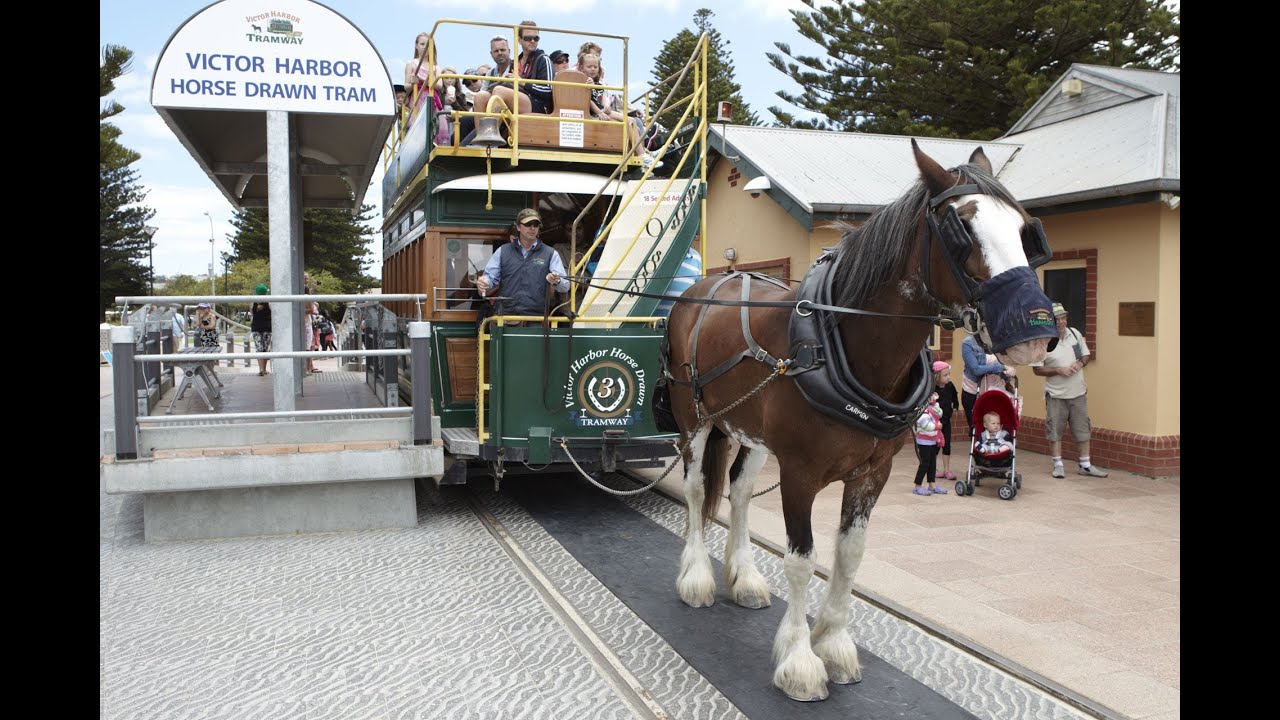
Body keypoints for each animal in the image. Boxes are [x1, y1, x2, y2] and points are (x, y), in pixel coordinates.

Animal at [660, 140, 1059, 702]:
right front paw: (800, 661)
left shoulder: (873, 473)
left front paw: (833, 644)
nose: (1038, 331)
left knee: (737, 491)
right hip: (693, 417)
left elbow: (849, 556)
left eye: (1025, 230)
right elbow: (801, 558)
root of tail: (714, 281)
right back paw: (696, 576)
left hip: (750, 431)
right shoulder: (800, 474)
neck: (840, 343)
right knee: (697, 487)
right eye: (962, 228)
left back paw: (744, 578)